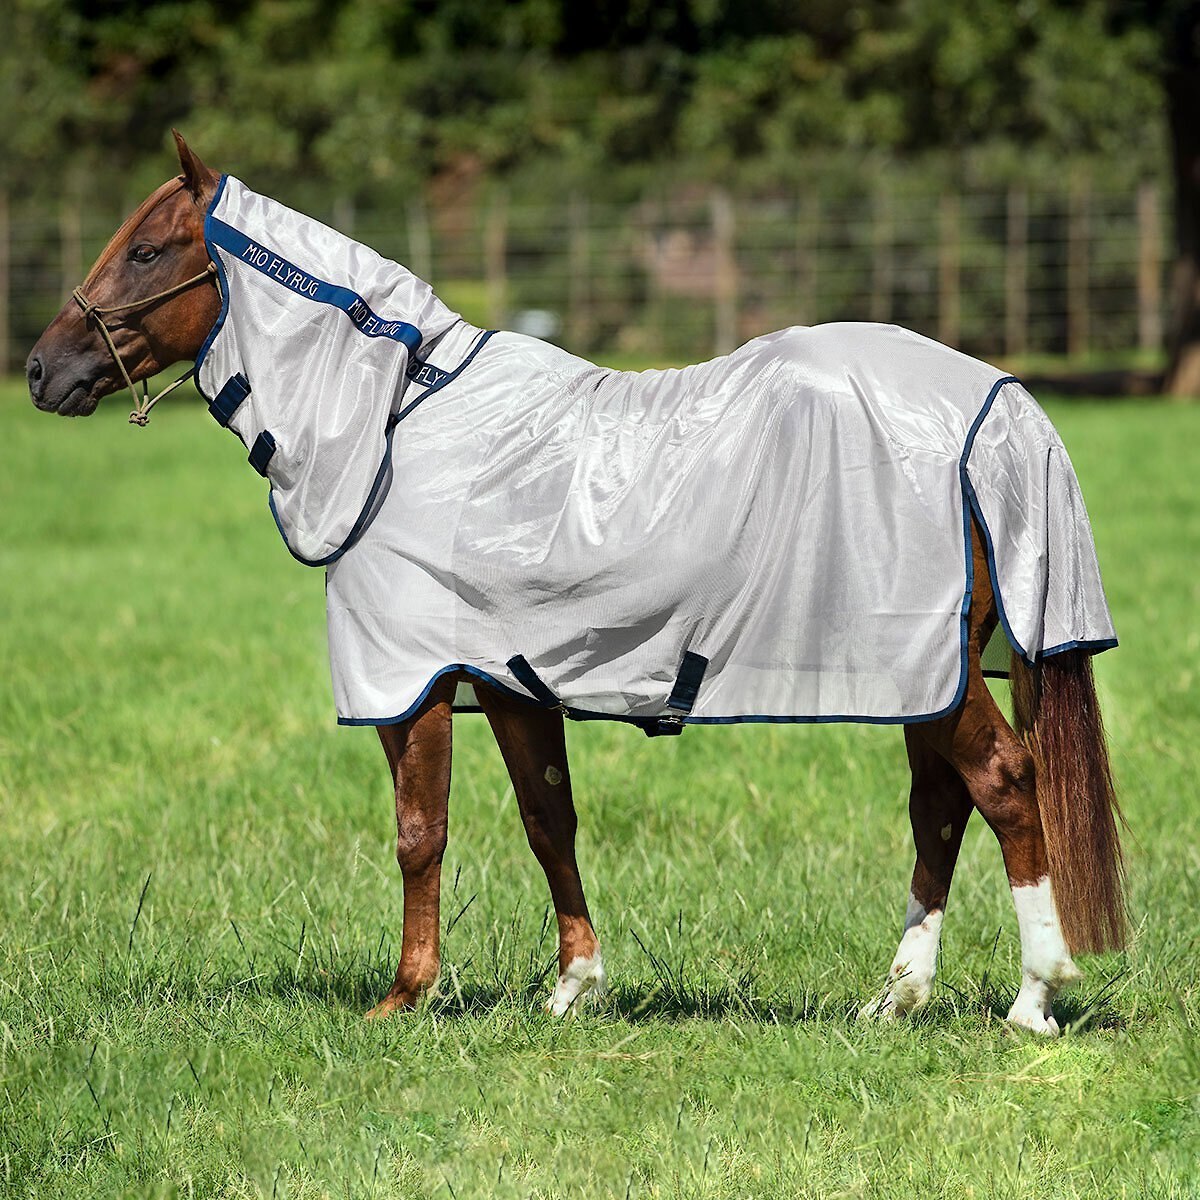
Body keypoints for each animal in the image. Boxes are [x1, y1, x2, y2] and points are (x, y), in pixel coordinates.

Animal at [26, 133, 1126, 1035]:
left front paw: (404, 995)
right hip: (921, 672)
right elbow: (546, 818)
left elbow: (419, 833)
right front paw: (573, 988)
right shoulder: (512, 678)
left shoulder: (413, 682)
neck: (400, 426)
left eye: (148, 251)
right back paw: (895, 997)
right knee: (940, 804)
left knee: (1004, 782)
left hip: (925, 667)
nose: (41, 370)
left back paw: (1035, 997)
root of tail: (996, 402)